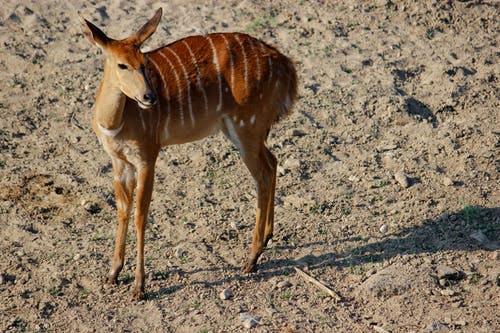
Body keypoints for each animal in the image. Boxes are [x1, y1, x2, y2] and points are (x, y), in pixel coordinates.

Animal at [79, 7, 294, 300]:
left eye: (145, 62)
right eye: (122, 65)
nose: (150, 97)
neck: (115, 122)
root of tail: (285, 64)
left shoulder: (148, 157)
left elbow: (140, 216)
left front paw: (139, 287)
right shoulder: (119, 161)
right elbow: (123, 210)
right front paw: (112, 274)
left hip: (247, 128)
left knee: (262, 174)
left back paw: (251, 258)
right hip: (242, 130)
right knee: (272, 162)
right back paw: (266, 241)